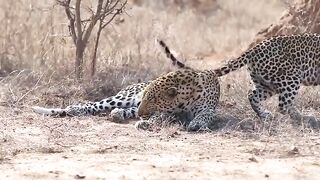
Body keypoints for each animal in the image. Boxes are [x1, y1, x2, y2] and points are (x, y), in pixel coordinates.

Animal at [138, 33, 320, 129]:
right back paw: (306, 119)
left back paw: (265, 115)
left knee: (252, 95)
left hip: (268, 82)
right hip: (290, 78)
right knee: (283, 105)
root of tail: (254, 49)